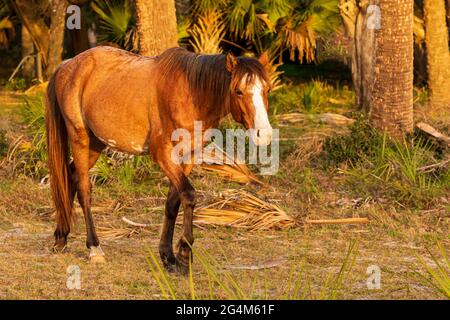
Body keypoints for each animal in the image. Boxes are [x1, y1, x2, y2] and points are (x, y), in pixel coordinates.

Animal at [45, 45, 272, 272]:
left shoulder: (188, 156)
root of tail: (68, 65)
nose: (265, 135)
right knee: (84, 189)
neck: (189, 93)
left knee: (71, 176)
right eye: (238, 91)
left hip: (95, 143)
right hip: (80, 140)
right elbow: (189, 195)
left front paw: (168, 256)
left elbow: (173, 202)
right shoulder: (163, 154)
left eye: (267, 89)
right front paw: (184, 254)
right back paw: (94, 248)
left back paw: (61, 237)